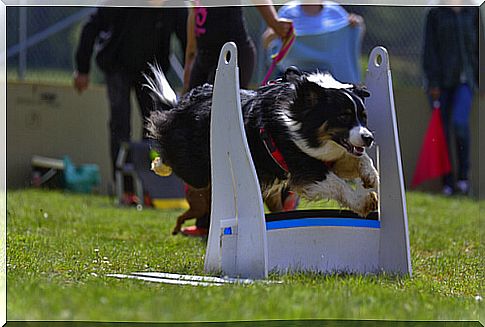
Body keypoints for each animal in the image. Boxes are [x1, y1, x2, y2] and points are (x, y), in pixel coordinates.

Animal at [147, 66, 378, 223]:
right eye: (343, 116)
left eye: (363, 117)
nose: (369, 138)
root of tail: (185, 102)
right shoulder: (304, 167)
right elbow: (336, 183)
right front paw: (364, 201)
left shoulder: (329, 156)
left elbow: (358, 159)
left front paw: (371, 176)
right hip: (196, 169)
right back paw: (159, 165)